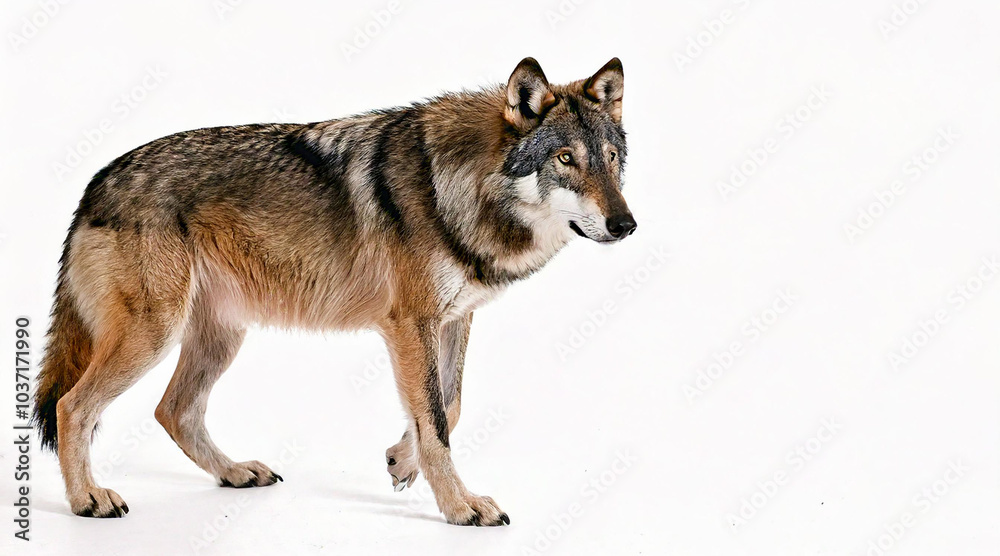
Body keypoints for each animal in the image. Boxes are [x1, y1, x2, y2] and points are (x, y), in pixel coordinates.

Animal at [33, 57, 636, 525]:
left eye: (610, 160)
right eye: (565, 160)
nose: (626, 224)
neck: (458, 188)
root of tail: (95, 183)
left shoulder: (453, 320)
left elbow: (450, 405)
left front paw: (402, 461)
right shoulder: (410, 326)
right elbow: (437, 421)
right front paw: (460, 507)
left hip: (221, 337)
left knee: (173, 411)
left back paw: (234, 473)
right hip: (155, 334)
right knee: (72, 406)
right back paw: (88, 500)